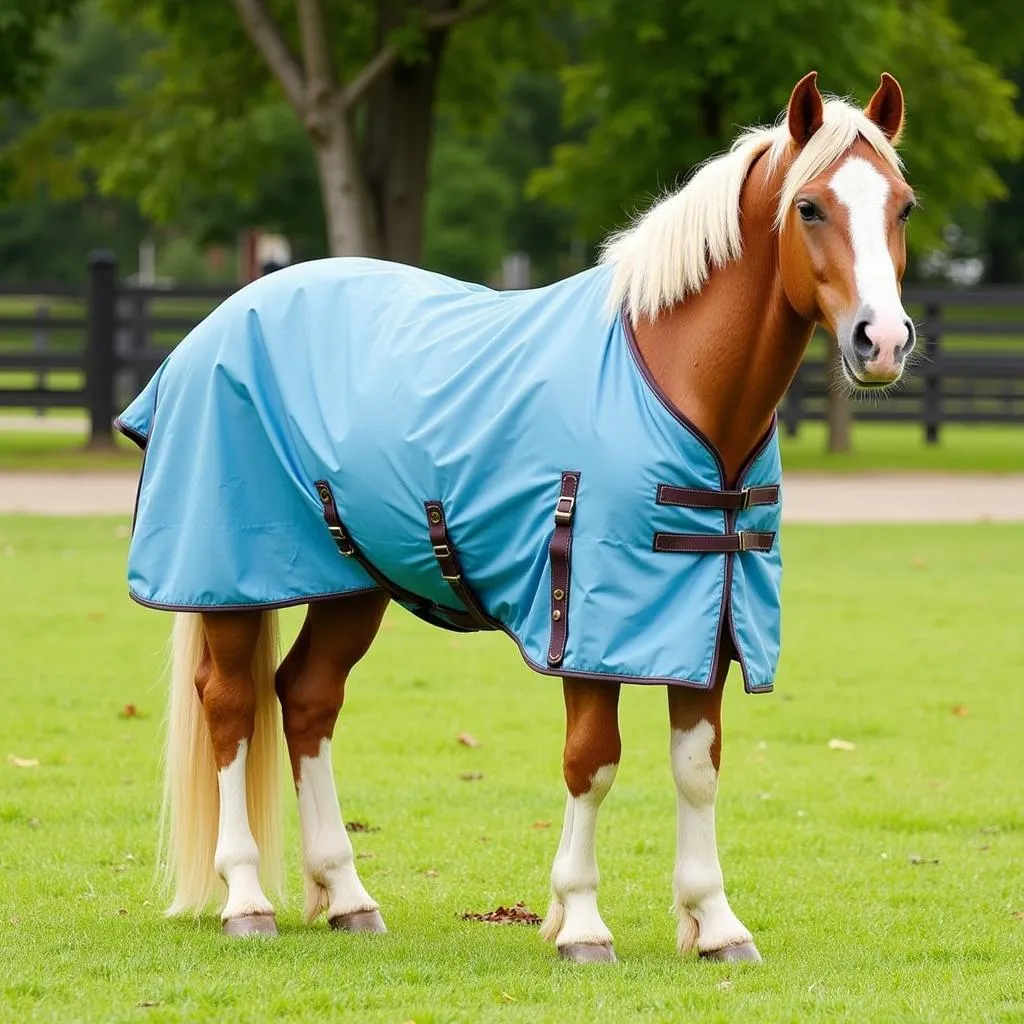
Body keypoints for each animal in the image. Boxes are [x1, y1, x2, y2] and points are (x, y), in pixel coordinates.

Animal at [149, 74, 913, 958]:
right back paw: (245, 899)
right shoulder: (582, 627)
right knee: (232, 706)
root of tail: (223, 318)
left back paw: (346, 896)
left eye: (904, 207)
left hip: (352, 582)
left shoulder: (706, 619)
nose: (882, 340)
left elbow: (697, 767)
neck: (673, 378)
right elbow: (593, 760)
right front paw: (580, 920)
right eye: (811, 208)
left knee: (306, 700)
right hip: (230, 583)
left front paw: (716, 922)